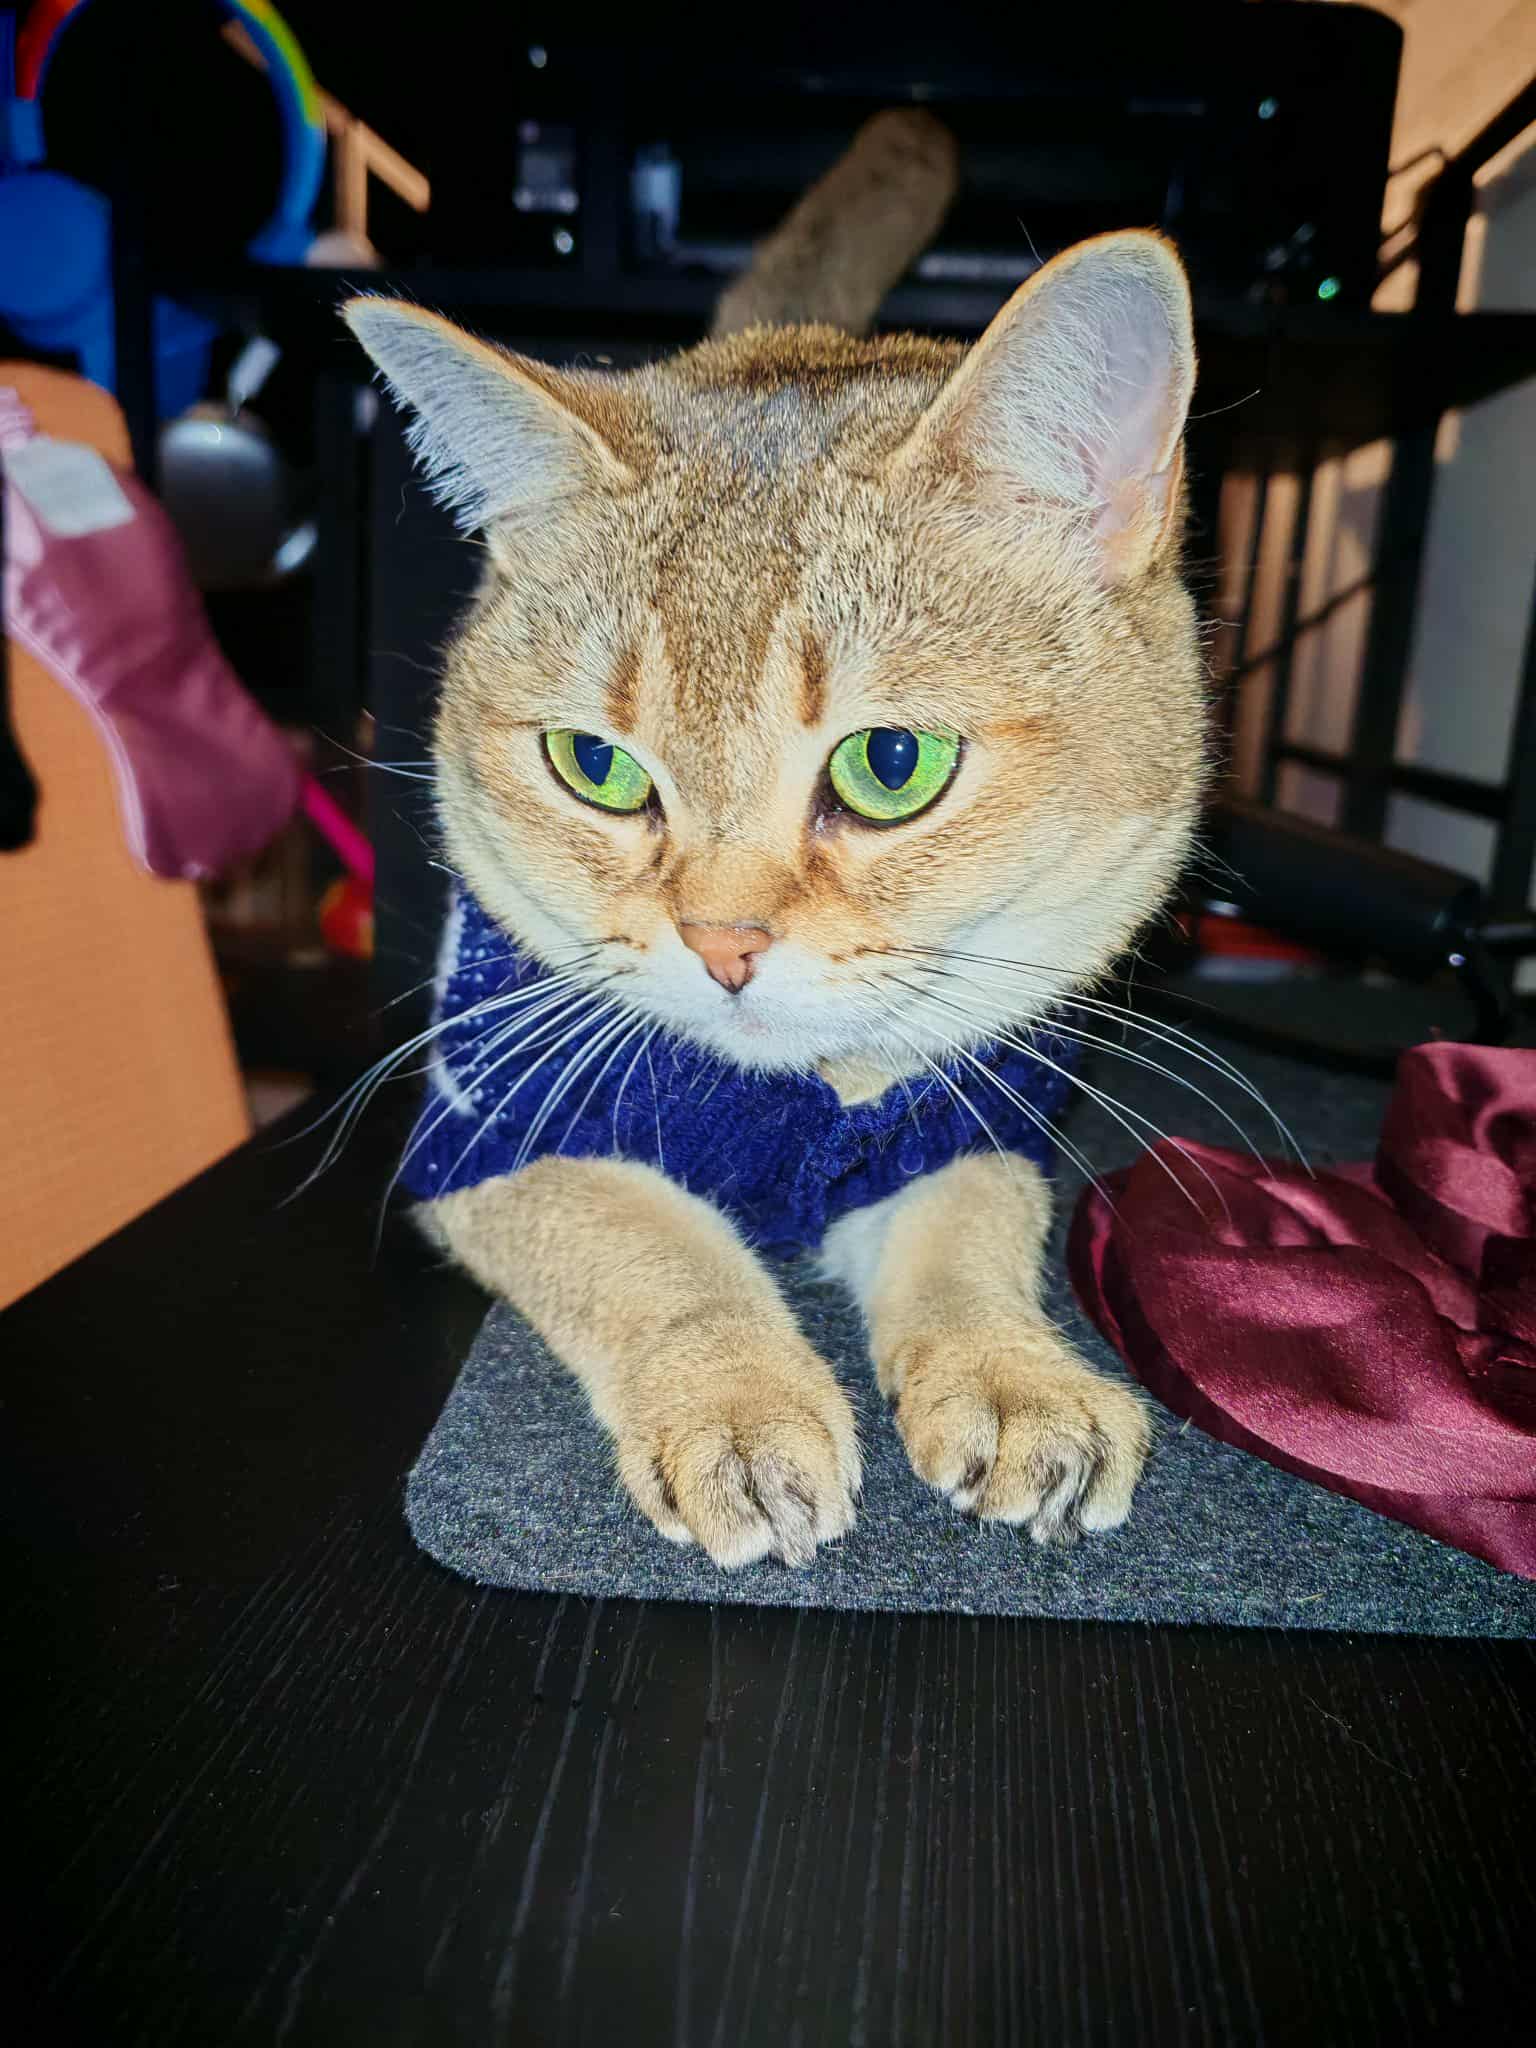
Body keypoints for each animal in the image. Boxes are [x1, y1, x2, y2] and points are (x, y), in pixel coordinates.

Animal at [344, 110, 1206, 1570]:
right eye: (595, 765)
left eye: (890, 764)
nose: (722, 944)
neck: (789, 1103)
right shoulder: (495, 1132)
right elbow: (655, 1247)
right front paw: (739, 1406)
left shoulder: (967, 1113)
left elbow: (973, 1234)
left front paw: (1019, 1375)